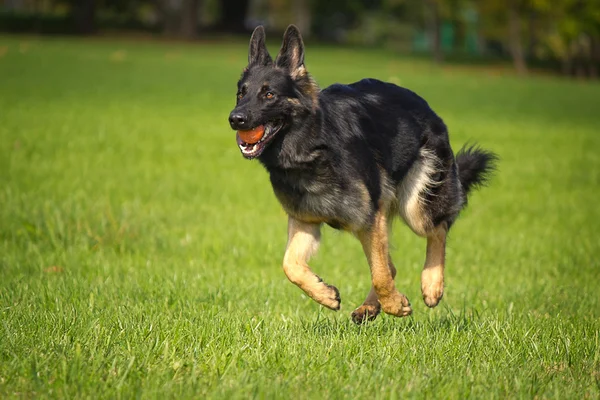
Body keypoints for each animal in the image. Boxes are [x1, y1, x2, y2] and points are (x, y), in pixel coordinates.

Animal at [227, 25, 494, 324]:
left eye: (269, 94)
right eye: (241, 93)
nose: (235, 118)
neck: (313, 146)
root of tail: (424, 106)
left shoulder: (368, 218)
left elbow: (379, 275)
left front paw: (395, 305)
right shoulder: (306, 220)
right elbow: (290, 265)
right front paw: (325, 294)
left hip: (414, 208)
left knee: (438, 229)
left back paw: (431, 285)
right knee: (391, 264)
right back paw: (369, 307)